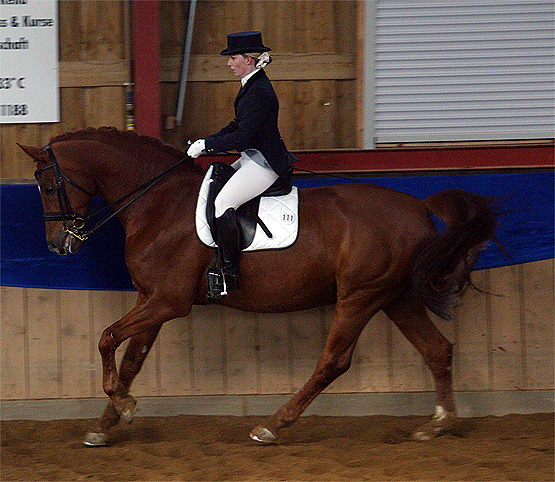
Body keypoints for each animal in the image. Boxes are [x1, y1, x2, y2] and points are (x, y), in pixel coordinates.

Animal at [19, 126, 499, 446]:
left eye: (47, 185)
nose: (58, 245)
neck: (157, 204)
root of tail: (419, 207)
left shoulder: (169, 301)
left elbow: (106, 338)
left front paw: (122, 407)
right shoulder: (152, 298)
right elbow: (132, 359)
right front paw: (109, 422)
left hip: (360, 296)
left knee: (334, 361)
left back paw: (273, 424)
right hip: (395, 297)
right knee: (437, 350)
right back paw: (438, 424)